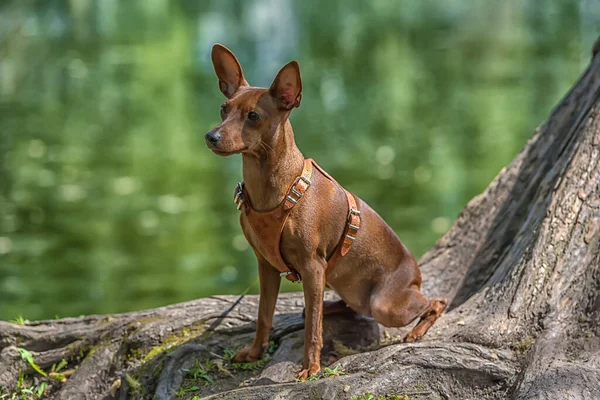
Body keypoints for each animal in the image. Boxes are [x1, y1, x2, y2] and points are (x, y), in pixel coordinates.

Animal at [206, 43, 446, 378]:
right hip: (350, 290)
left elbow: (312, 330)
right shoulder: (266, 265)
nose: (210, 137)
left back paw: (416, 330)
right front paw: (255, 352)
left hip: (384, 304)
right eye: (223, 109)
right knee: (337, 306)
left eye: (253, 116)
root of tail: (417, 275)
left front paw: (311, 367)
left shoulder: (312, 266)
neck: (274, 188)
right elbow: (264, 315)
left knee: (436, 302)